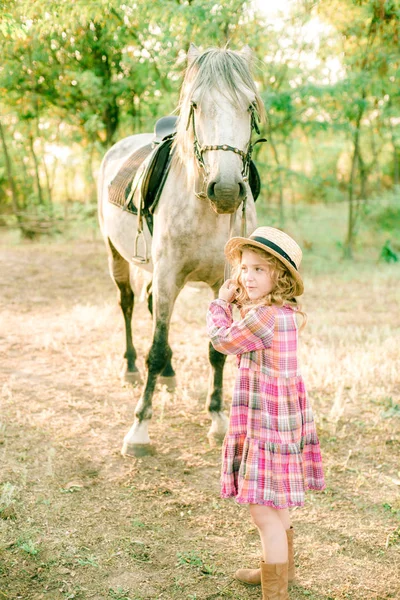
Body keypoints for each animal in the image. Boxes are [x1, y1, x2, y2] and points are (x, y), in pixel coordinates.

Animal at [98, 43, 264, 454]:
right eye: (195, 105)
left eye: (249, 105)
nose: (225, 190)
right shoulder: (169, 274)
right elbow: (155, 349)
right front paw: (139, 428)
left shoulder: (223, 282)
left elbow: (216, 351)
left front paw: (218, 419)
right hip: (117, 256)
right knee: (128, 304)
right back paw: (129, 366)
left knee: (149, 304)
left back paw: (171, 375)